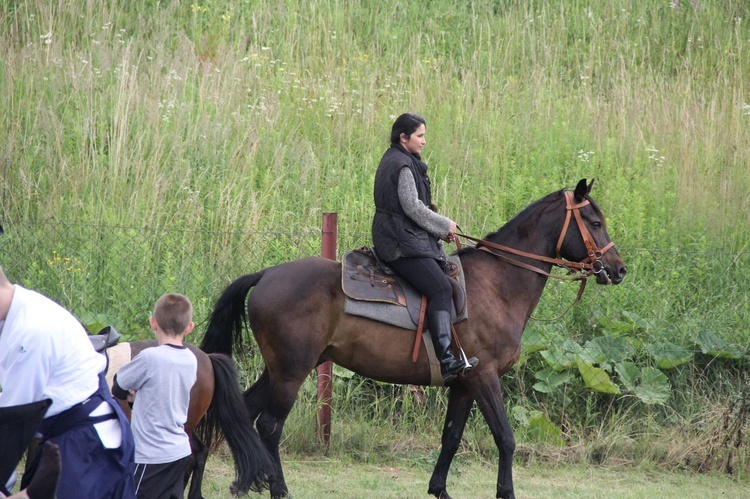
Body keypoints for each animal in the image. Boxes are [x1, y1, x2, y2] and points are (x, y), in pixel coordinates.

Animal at [200, 181, 628, 499]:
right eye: (594, 221)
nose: (619, 269)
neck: (498, 283)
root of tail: (266, 275)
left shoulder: (464, 383)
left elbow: (451, 437)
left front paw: (439, 489)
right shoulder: (484, 377)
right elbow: (505, 438)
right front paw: (505, 492)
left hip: (280, 370)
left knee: (234, 412)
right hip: (291, 371)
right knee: (269, 426)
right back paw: (279, 489)